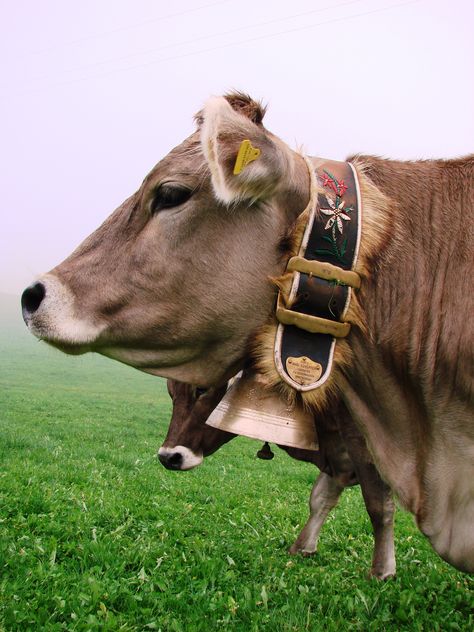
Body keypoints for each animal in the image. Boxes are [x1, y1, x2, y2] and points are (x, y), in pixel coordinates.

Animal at [159, 378, 396, 580]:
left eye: (201, 389)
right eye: (171, 392)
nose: (168, 457)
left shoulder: (368, 449)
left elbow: (379, 508)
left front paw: (382, 571)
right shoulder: (340, 454)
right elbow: (320, 499)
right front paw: (303, 547)